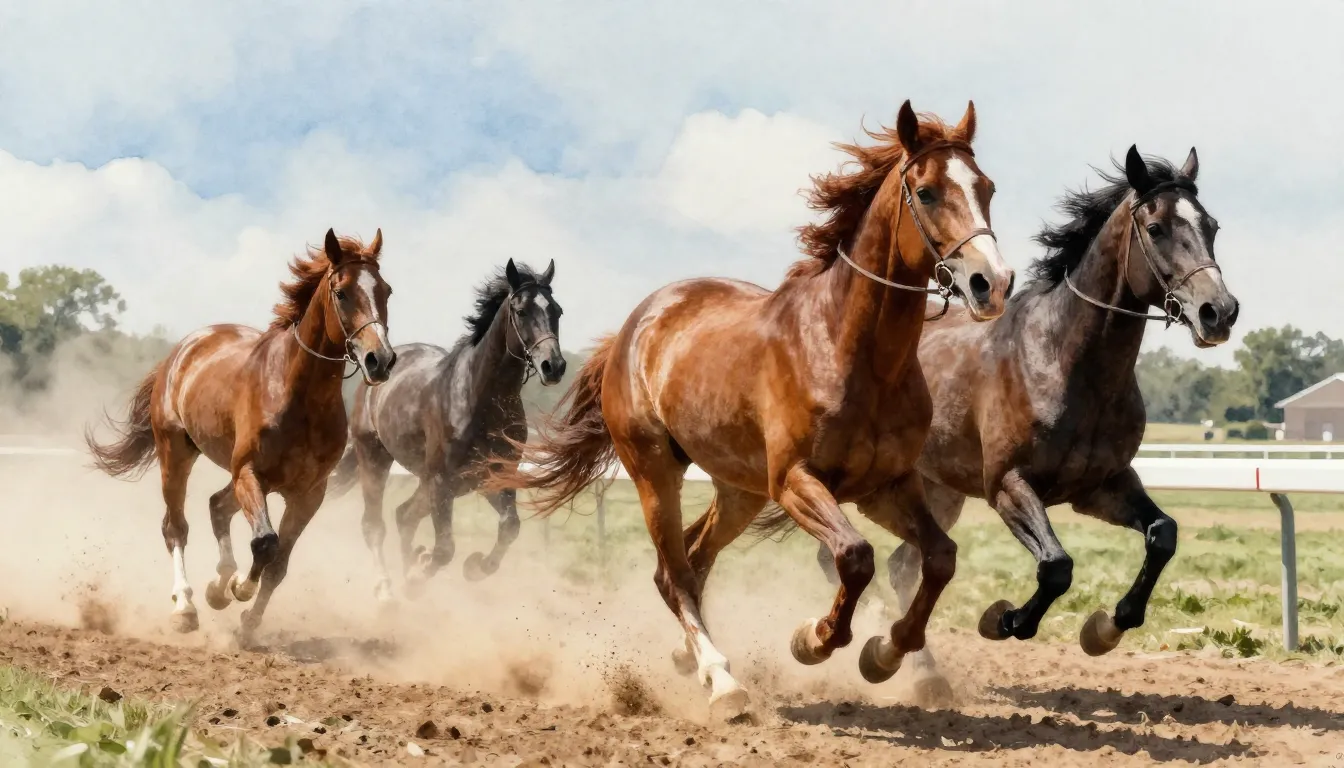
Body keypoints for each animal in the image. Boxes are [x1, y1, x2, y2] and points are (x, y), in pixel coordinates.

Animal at [85, 229, 396, 639]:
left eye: (386, 291)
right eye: (342, 292)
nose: (381, 360)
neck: (299, 395)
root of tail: (181, 351)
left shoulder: (308, 494)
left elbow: (278, 563)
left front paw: (247, 619)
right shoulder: (250, 473)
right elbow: (265, 543)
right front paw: (237, 590)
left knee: (217, 506)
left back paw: (217, 585)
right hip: (176, 454)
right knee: (176, 527)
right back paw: (186, 606)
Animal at [326, 259, 565, 601]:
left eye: (557, 311)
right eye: (521, 311)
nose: (553, 366)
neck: (481, 400)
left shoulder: (492, 477)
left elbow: (509, 526)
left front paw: (474, 566)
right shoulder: (443, 482)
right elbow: (444, 548)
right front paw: (419, 573)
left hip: (427, 480)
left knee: (404, 516)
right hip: (375, 458)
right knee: (375, 524)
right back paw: (387, 590)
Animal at [488, 101, 1016, 719]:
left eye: (987, 187)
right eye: (928, 192)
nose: (992, 283)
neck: (850, 351)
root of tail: (633, 328)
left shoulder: (888, 486)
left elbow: (940, 558)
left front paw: (883, 655)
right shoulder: (794, 481)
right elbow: (856, 556)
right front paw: (814, 639)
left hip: (738, 490)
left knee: (694, 557)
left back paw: (688, 658)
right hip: (655, 472)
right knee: (675, 571)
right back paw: (722, 680)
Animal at [801, 145, 1239, 705]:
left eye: (1211, 225)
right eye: (1157, 227)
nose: (1219, 312)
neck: (1065, 362)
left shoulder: (1102, 486)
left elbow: (1163, 535)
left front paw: (1106, 628)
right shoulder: (1009, 485)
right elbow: (1056, 566)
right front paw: (1004, 620)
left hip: (939, 493)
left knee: (904, 565)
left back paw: (915, 669)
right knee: (848, 557)